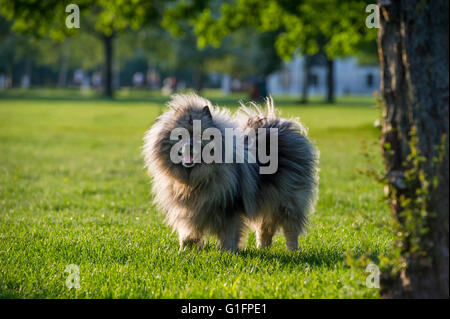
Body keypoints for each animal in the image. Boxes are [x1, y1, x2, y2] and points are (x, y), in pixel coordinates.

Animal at [142, 92, 318, 252]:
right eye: (180, 135)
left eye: (201, 135)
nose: (190, 146)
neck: (196, 179)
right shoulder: (188, 211)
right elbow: (188, 234)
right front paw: (185, 250)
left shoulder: (229, 209)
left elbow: (230, 234)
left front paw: (228, 252)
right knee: (265, 229)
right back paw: (262, 248)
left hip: (287, 202)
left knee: (290, 229)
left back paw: (293, 251)